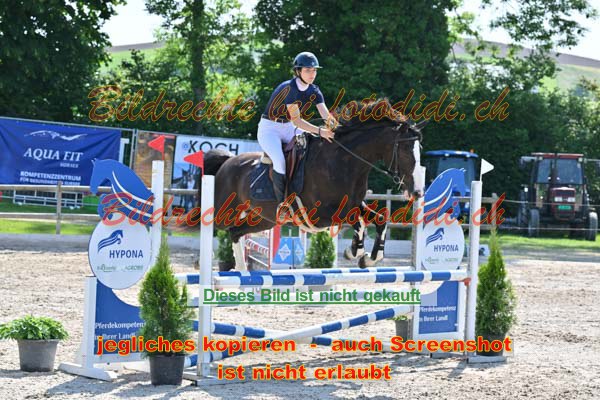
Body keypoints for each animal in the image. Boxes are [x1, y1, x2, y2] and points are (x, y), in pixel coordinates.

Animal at [203, 99, 427, 269]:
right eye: (405, 150)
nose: (417, 192)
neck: (344, 162)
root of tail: (228, 161)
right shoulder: (321, 214)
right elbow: (358, 222)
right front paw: (354, 251)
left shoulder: (354, 204)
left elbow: (380, 220)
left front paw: (370, 258)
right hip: (224, 212)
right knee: (218, 226)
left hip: (264, 219)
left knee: (236, 232)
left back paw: (242, 271)